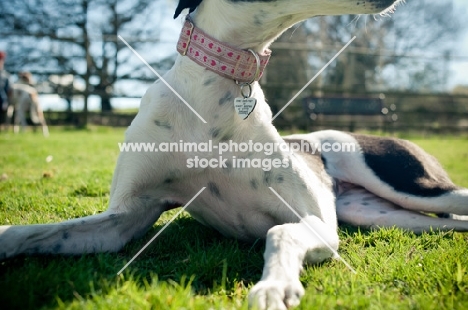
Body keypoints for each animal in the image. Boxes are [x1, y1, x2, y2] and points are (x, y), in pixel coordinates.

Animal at [0, 0, 468, 310]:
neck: (213, 94)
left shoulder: (316, 221)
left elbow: (279, 232)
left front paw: (274, 286)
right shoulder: (127, 215)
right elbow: (29, 232)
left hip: (412, 185)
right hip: (383, 214)